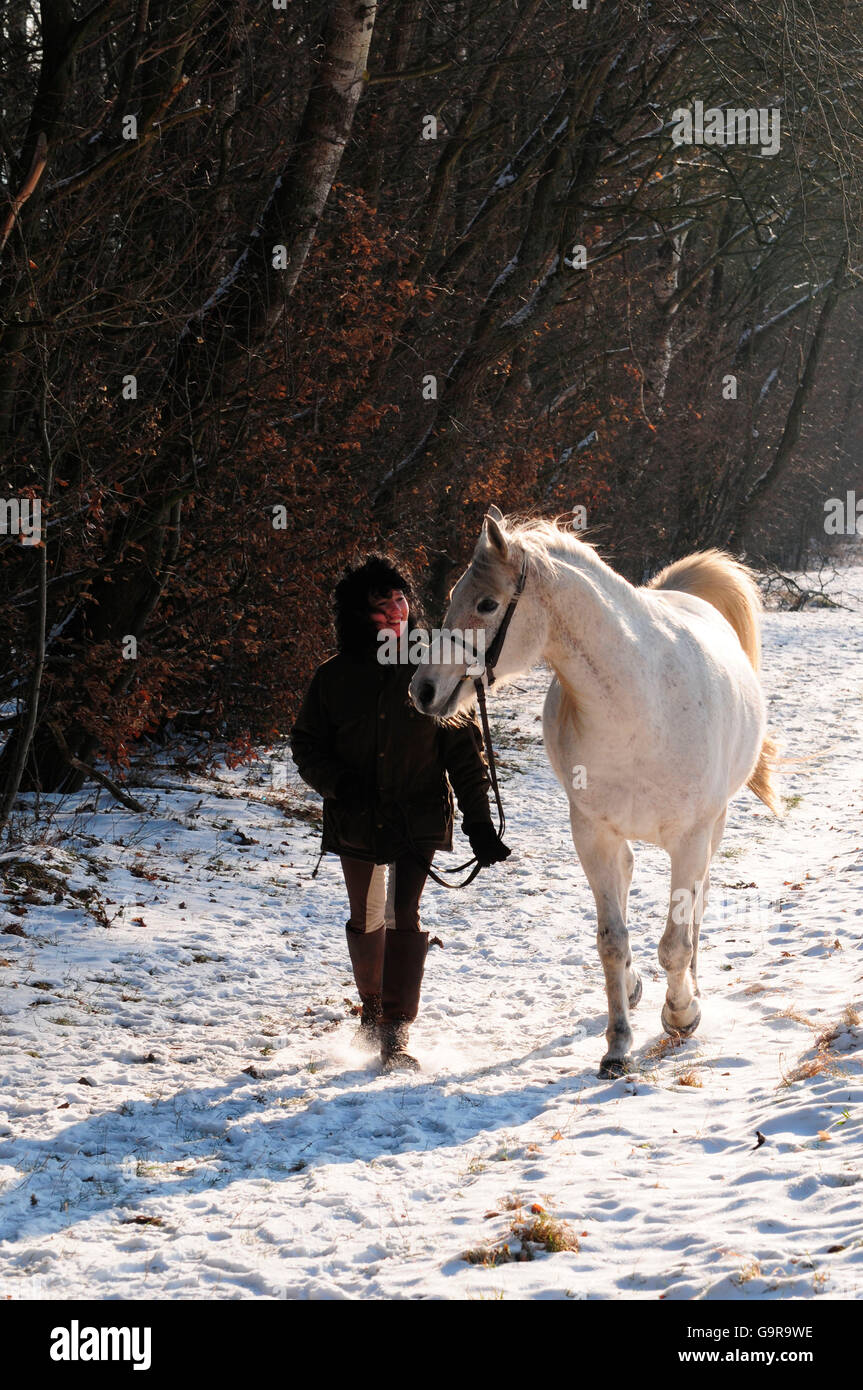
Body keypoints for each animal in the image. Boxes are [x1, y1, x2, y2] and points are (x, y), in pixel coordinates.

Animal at [408, 508, 778, 1073]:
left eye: (487, 603)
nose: (423, 690)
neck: (641, 704)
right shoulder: (592, 835)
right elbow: (611, 942)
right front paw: (618, 1044)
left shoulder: (690, 840)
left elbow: (676, 940)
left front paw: (681, 1013)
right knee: (628, 883)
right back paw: (632, 989)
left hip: (712, 830)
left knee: (698, 908)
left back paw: (689, 990)